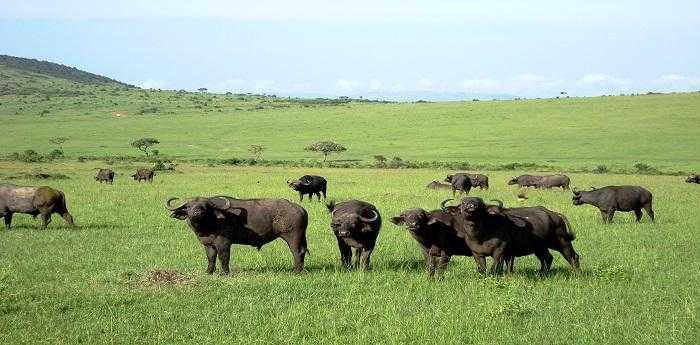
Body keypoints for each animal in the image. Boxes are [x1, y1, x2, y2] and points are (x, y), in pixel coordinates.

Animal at [167, 196, 308, 274]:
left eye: (205, 207)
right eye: (189, 207)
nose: (196, 213)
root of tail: (300, 209)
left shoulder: (224, 243)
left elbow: (223, 257)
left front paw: (224, 273)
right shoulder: (208, 245)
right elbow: (211, 258)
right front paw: (209, 272)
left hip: (292, 237)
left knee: (297, 252)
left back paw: (296, 271)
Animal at [442, 196, 580, 274]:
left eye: (481, 203)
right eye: (463, 202)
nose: (471, 206)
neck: (480, 235)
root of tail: (554, 214)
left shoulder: (500, 251)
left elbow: (494, 269)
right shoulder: (477, 253)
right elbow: (482, 270)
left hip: (561, 241)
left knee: (572, 256)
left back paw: (576, 274)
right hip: (541, 247)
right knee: (547, 258)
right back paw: (542, 274)